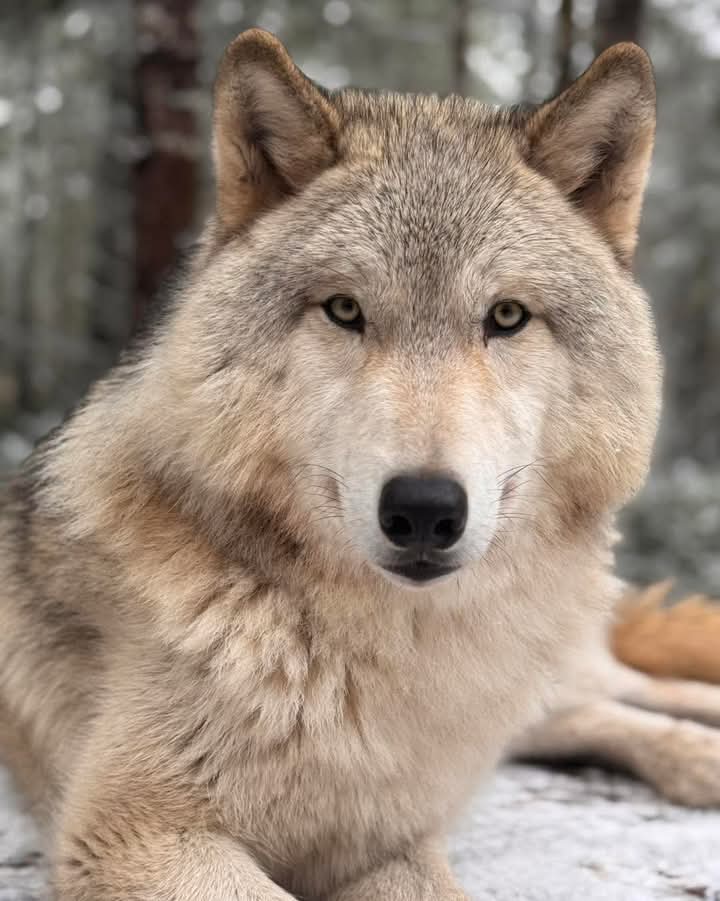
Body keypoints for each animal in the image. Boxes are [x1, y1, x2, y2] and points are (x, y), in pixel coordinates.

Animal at [2, 28, 720, 900]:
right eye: (345, 310)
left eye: (506, 316)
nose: (424, 509)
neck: (374, 658)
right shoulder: (137, 829)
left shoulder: (389, 839)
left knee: (638, 689)